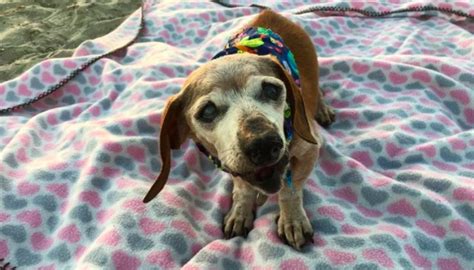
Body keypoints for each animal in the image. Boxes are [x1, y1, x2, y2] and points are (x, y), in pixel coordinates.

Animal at [143, 8, 336, 249]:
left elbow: (290, 190)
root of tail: (270, 12)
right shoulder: (231, 164)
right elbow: (242, 189)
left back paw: (322, 108)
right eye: (207, 111)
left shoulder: (309, 151)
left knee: (316, 91)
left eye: (271, 90)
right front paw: (240, 212)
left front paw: (293, 220)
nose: (263, 144)